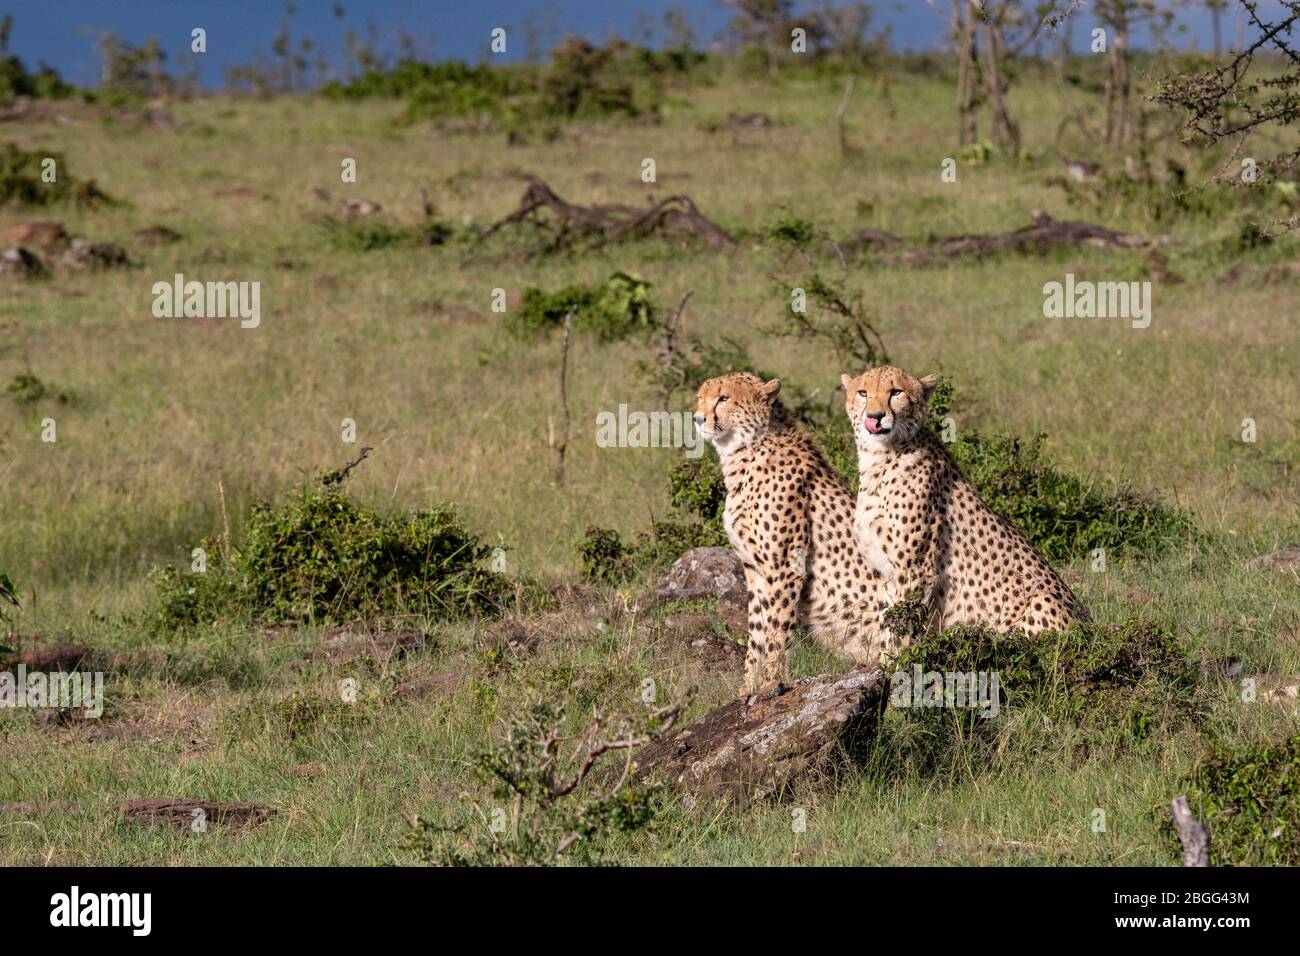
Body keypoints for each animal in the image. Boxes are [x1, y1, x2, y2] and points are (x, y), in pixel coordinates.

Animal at [691, 369, 894, 697]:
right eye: (701, 397)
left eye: (723, 398)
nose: (697, 418)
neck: (743, 452)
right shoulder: (754, 570)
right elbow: (757, 633)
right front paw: (747, 690)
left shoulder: (785, 566)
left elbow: (777, 630)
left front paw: (770, 685)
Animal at [842, 366, 1086, 642]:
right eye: (863, 393)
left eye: (896, 392)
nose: (875, 416)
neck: (879, 458)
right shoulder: (888, 573)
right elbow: (888, 619)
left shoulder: (916, 571)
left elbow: (902, 628)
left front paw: (898, 653)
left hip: (1040, 600)